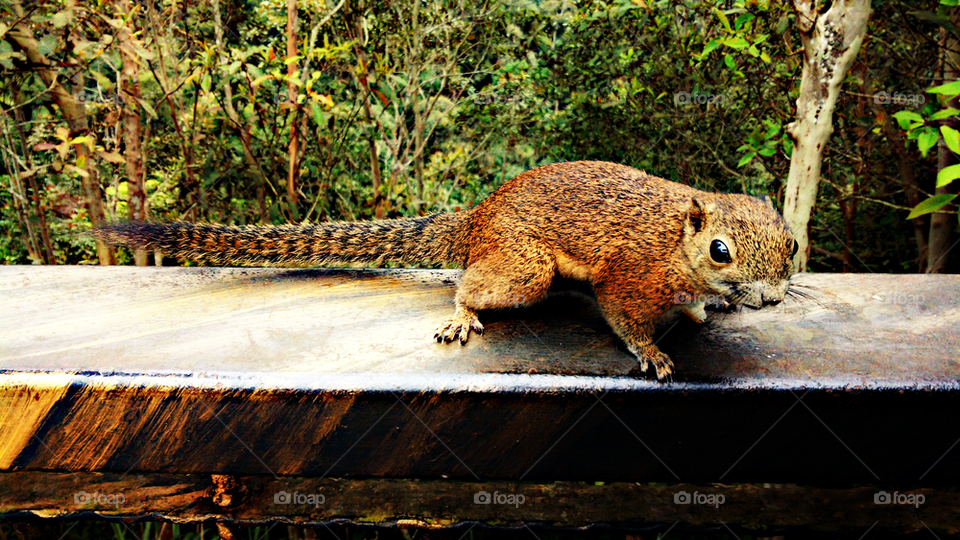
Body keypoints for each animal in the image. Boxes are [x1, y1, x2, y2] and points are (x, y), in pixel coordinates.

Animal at [97, 161, 797, 379]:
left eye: (791, 244)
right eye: (720, 251)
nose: (771, 298)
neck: (678, 242)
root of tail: (480, 217)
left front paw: (708, 308)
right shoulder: (629, 276)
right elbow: (626, 318)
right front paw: (653, 351)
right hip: (526, 268)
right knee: (470, 282)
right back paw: (461, 312)